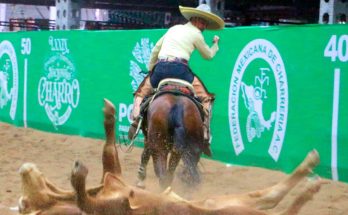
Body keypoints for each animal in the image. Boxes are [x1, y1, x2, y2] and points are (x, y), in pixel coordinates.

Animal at [17, 99, 324, 215]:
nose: (24, 169)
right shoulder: (112, 205)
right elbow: (86, 196)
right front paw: (77, 174)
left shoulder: (112, 179)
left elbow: (108, 153)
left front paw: (109, 113)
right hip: (227, 208)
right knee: (275, 204)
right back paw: (310, 184)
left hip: (226, 204)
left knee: (270, 198)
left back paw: (310, 170)